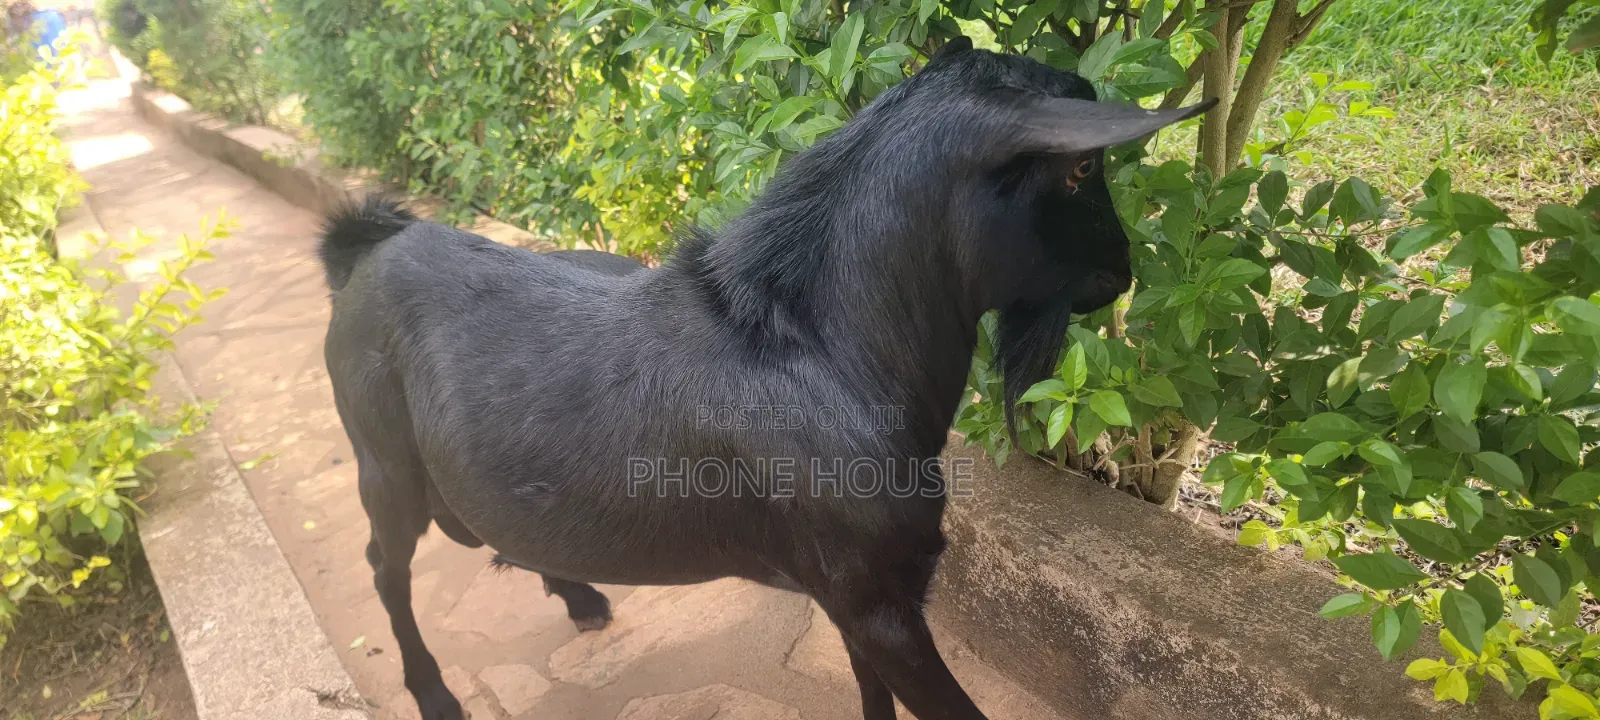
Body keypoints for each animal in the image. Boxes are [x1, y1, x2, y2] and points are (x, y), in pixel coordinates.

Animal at [319, 37, 1213, 720]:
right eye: (1078, 171)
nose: (1122, 271)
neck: (826, 356)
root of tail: (368, 251)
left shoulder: (861, 601)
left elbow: (871, 699)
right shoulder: (876, 602)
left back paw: (579, 598)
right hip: (383, 465)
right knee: (383, 567)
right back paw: (436, 693)